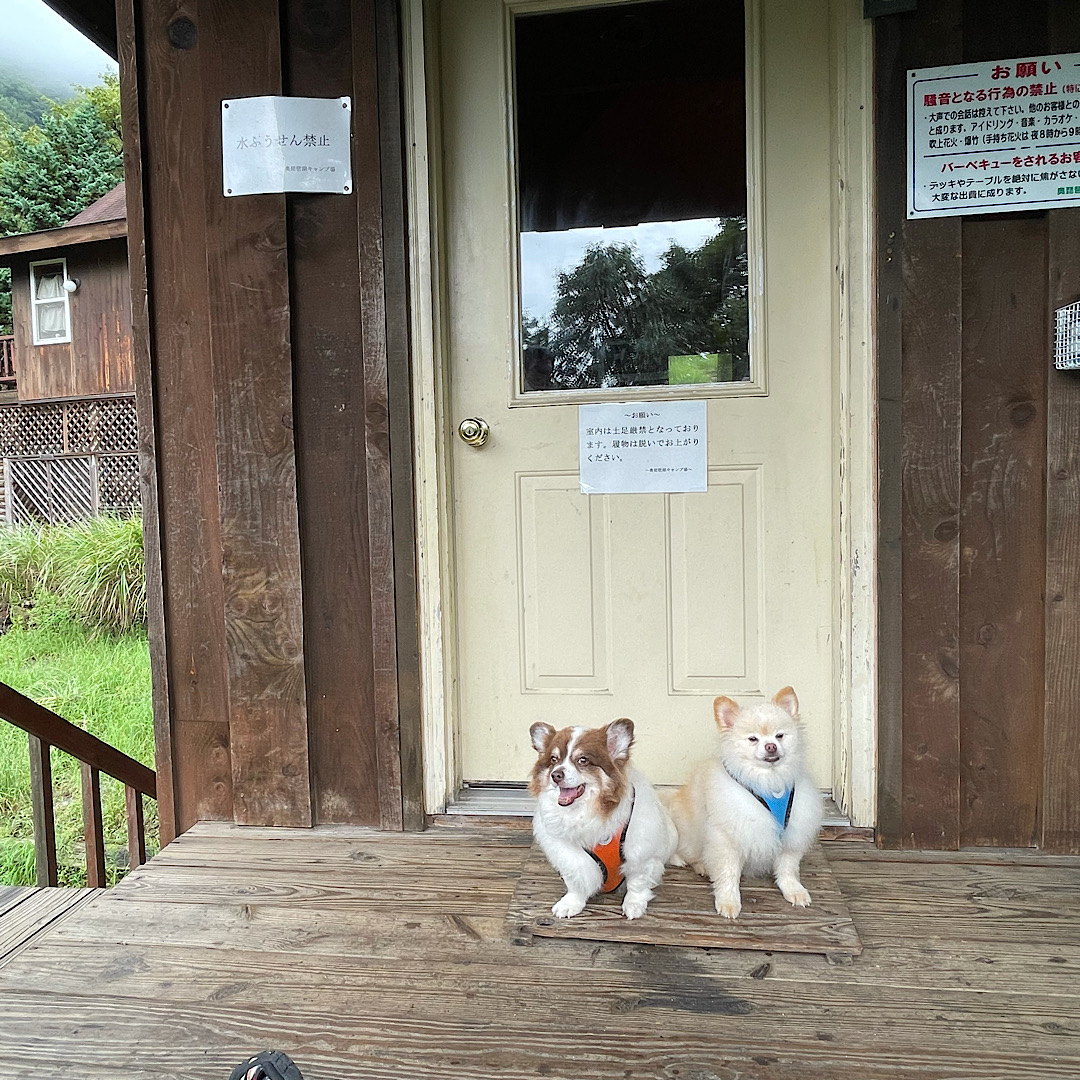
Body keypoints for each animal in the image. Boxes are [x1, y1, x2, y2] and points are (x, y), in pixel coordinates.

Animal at [524, 717, 669, 920]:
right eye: (554, 759)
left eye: (583, 760)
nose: (556, 775)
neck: (589, 811)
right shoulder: (570, 855)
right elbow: (576, 881)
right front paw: (571, 904)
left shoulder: (639, 851)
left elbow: (637, 882)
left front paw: (634, 904)